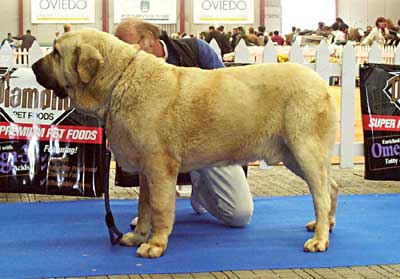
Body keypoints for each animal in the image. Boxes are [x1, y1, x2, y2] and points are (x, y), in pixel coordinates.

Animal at [32, 29, 338, 260]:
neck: (119, 81)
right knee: (331, 187)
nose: (34, 66)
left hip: (304, 149)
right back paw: (327, 226)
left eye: (57, 53)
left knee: (321, 195)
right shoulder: (146, 171)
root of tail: (321, 83)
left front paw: (155, 244)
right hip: (294, 155)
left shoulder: (159, 167)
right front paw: (138, 236)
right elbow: (144, 207)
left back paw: (319, 239)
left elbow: (158, 208)